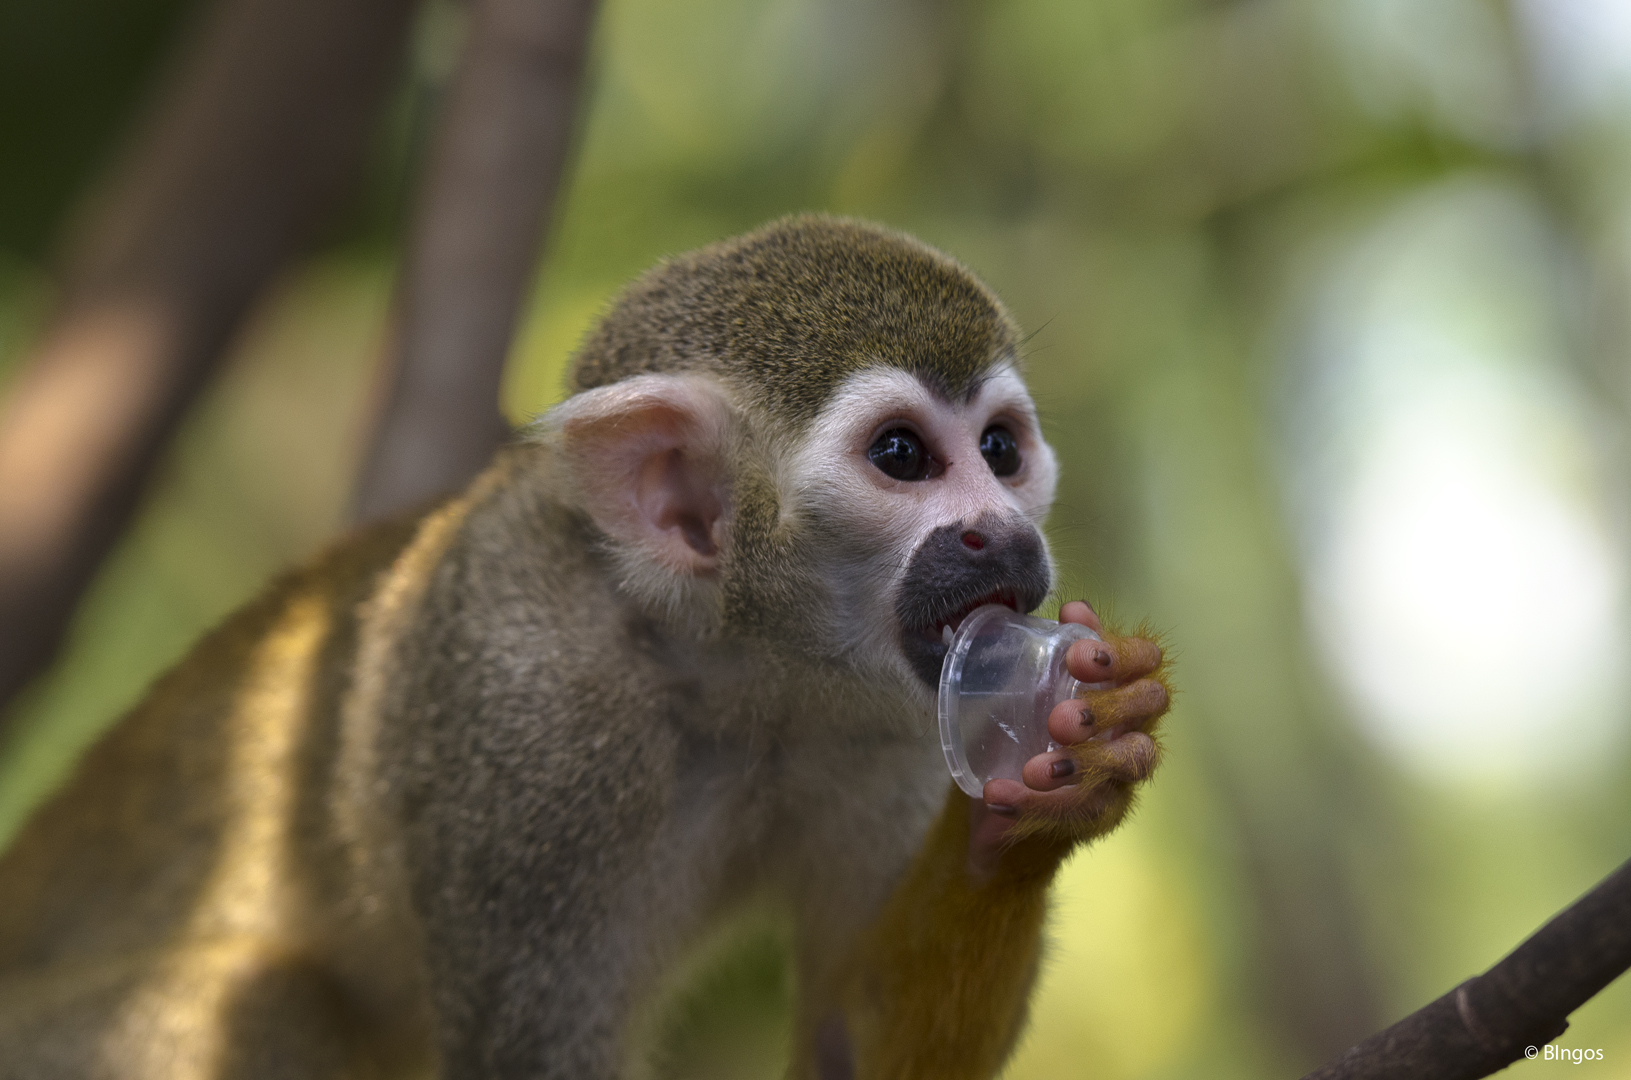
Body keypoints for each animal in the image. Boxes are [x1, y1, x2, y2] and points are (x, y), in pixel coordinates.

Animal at [0, 218, 1174, 1080]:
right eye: (901, 456)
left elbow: (853, 1041)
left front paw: (1043, 803)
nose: (1004, 533)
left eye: (999, 450)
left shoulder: (895, 721)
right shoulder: (519, 716)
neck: (730, 669)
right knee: (273, 1005)